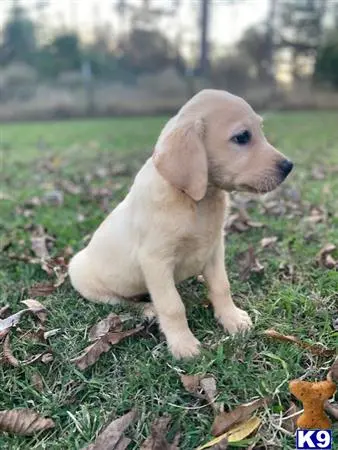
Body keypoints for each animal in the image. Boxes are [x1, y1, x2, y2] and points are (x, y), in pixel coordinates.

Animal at [68, 90, 294, 358]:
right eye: (241, 137)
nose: (289, 166)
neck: (196, 201)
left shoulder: (214, 248)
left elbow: (221, 286)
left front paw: (231, 318)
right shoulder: (156, 261)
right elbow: (172, 305)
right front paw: (183, 344)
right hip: (85, 278)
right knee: (123, 301)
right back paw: (148, 310)